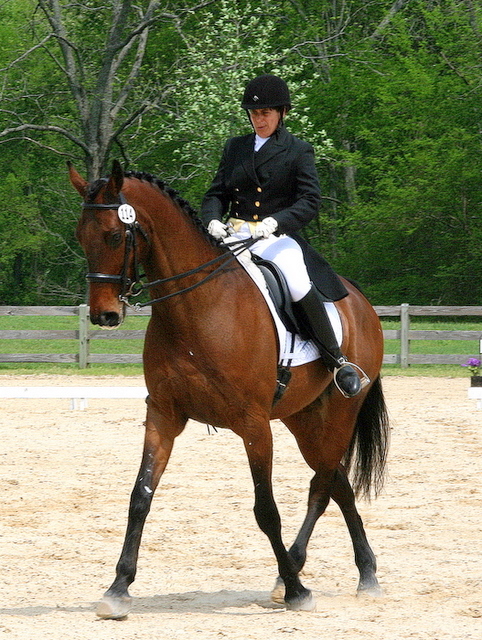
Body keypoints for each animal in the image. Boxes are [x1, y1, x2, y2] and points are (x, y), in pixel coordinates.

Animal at [69, 160, 389, 619]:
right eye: (82, 236)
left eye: (115, 235)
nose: (104, 316)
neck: (195, 308)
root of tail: (359, 300)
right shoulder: (163, 414)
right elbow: (140, 497)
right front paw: (118, 588)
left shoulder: (254, 425)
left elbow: (266, 510)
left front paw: (298, 592)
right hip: (303, 417)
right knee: (337, 482)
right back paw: (353, 572)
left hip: (341, 411)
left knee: (323, 483)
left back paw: (311, 574)